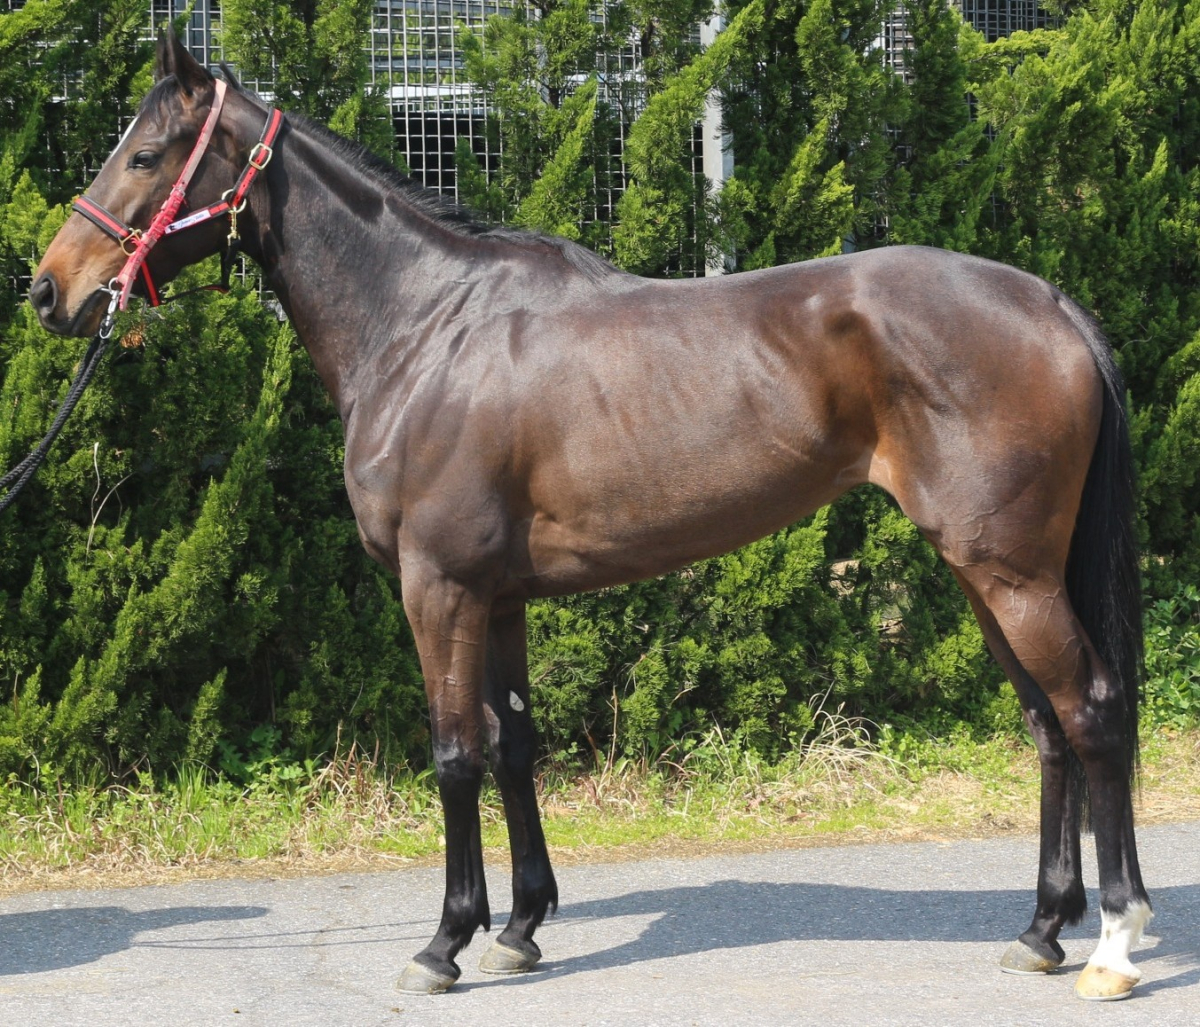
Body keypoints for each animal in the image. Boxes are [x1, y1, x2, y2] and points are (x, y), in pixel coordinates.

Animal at [30, 31, 1151, 1001]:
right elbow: (515, 744)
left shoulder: (438, 587)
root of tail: (1052, 303)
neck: (426, 327)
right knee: (1051, 725)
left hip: (1010, 572)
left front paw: (444, 941)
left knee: (1092, 710)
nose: (48, 290)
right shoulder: (499, 596)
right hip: (987, 571)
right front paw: (521, 927)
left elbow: (453, 753)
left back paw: (1112, 942)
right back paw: (1041, 929)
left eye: (145, 154)